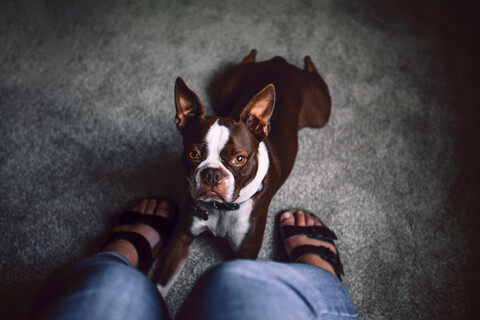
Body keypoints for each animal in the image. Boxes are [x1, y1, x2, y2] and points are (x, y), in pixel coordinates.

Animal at [156, 50, 332, 290]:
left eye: (239, 159)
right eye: (194, 155)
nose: (212, 174)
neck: (222, 209)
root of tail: (280, 62)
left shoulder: (244, 253)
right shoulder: (181, 239)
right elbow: (160, 284)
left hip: (320, 111)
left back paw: (306, 61)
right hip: (226, 90)